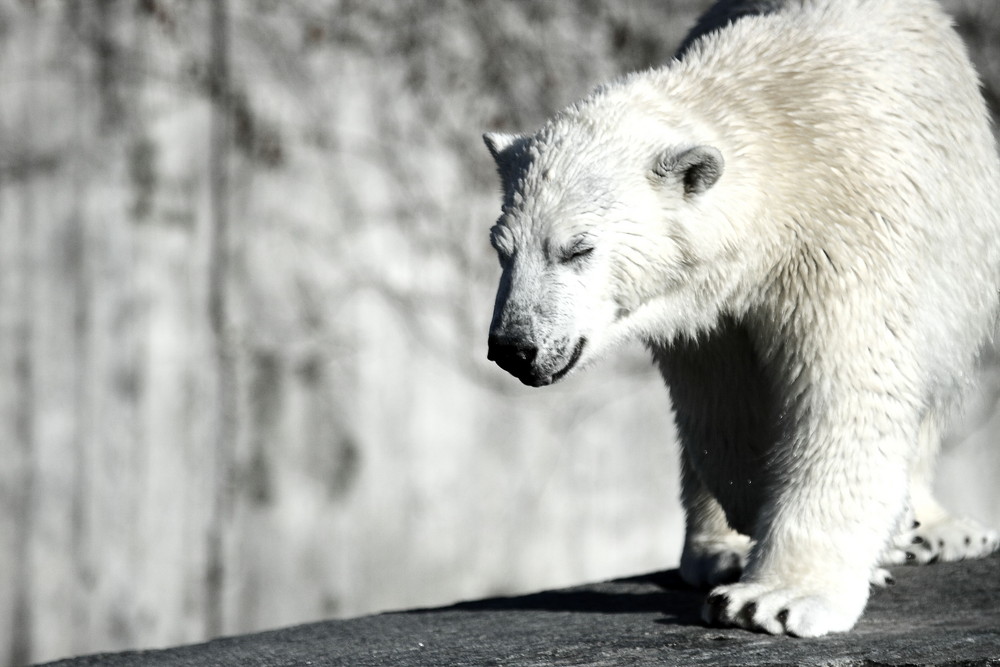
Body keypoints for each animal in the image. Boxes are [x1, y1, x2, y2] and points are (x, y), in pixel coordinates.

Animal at [484, 0, 1000, 640]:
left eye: (578, 249)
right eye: (501, 248)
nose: (514, 347)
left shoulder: (849, 241)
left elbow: (847, 392)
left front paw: (776, 600)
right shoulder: (703, 308)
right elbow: (729, 408)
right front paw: (756, 533)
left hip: (964, 266)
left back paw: (939, 530)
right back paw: (721, 551)